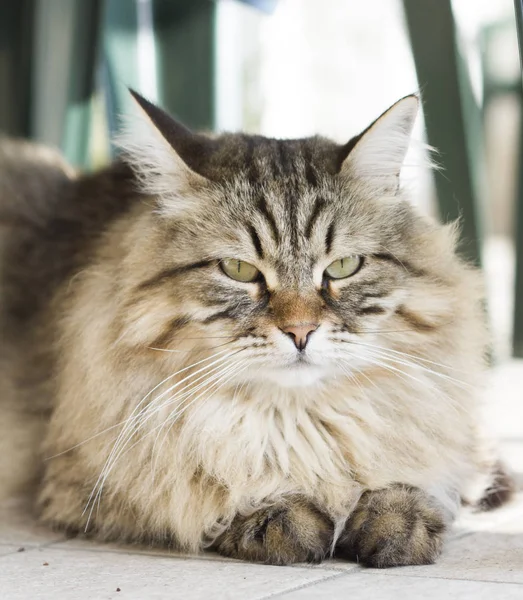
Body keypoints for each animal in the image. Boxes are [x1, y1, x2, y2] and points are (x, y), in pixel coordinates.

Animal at [0, 92, 516, 568]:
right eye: (240, 270)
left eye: (343, 266)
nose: (301, 330)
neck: (298, 420)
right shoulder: (84, 485)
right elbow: (207, 497)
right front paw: (283, 515)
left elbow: (421, 481)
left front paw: (396, 520)